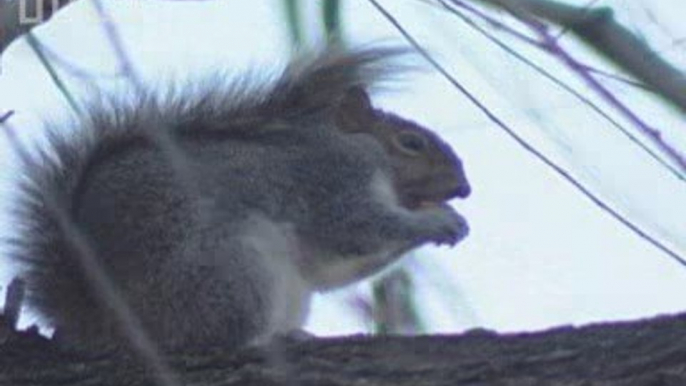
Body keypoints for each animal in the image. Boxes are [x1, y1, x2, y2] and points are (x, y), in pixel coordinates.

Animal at [9, 46, 472, 352]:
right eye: (411, 143)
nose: (464, 188)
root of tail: (103, 324)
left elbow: (333, 267)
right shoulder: (331, 180)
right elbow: (354, 226)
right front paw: (438, 221)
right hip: (229, 267)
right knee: (219, 335)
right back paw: (271, 338)